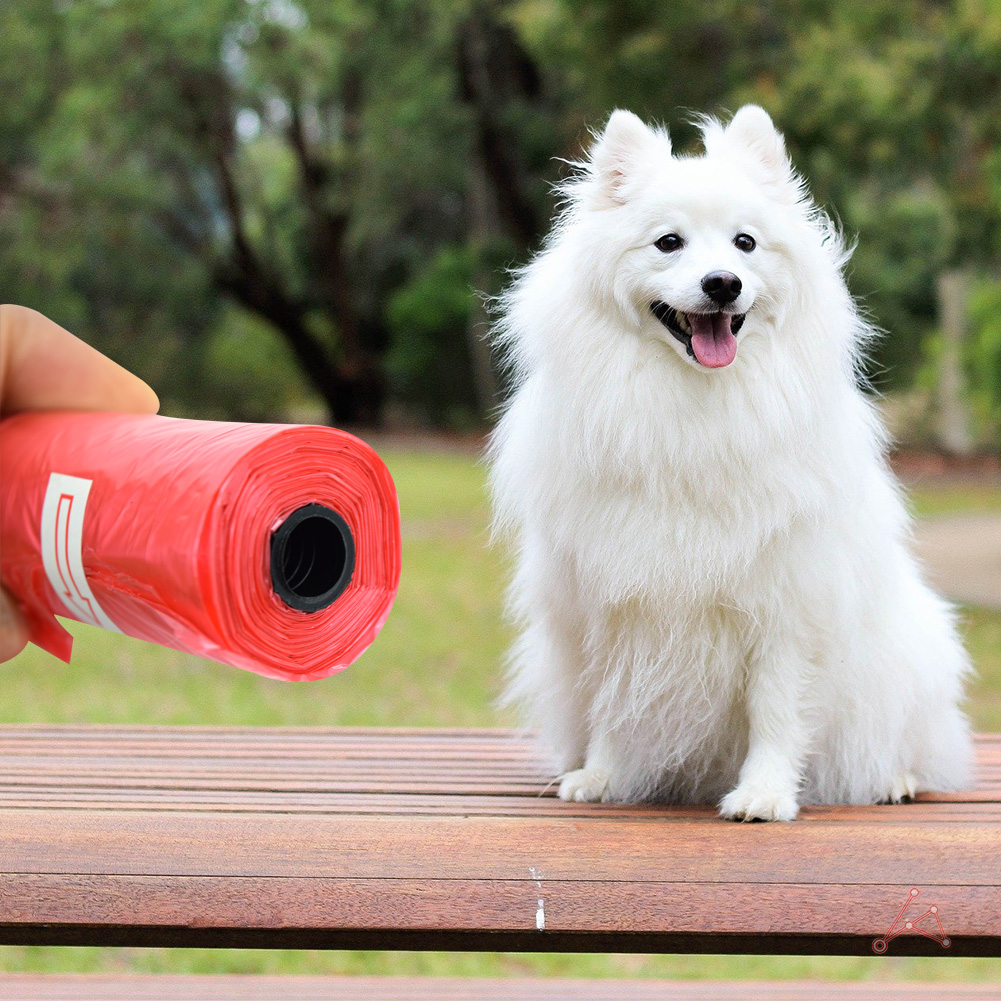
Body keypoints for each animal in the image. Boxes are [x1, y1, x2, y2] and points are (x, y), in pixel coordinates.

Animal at [488, 103, 972, 820]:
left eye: (745, 243)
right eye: (668, 243)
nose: (722, 283)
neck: (696, 406)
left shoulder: (785, 602)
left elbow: (775, 709)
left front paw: (764, 793)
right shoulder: (609, 600)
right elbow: (613, 700)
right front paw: (602, 775)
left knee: (907, 740)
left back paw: (895, 778)